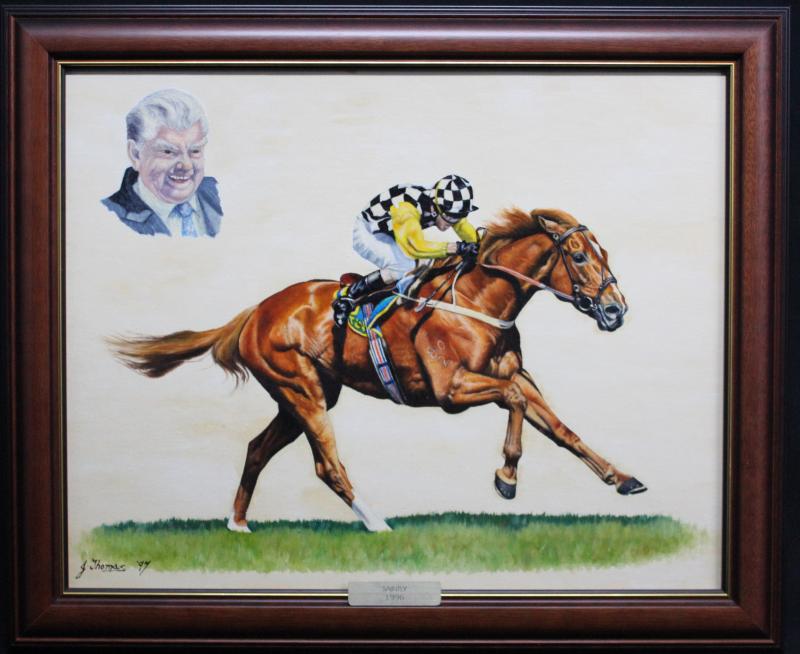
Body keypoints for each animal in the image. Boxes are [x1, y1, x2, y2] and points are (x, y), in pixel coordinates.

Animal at [109, 207, 646, 533]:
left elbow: (559, 428)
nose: (616, 310)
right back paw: (376, 522)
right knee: (327, 464)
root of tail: (255, 311)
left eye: (603, 254)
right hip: (302, 391)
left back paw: (238, 523)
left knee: (257, 448)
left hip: (305, 395)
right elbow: (513, 404)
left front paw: (622, 479)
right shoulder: (453, 390)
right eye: (578, 256)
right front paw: (506, 477)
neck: (477, 301)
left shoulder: (514, 375)